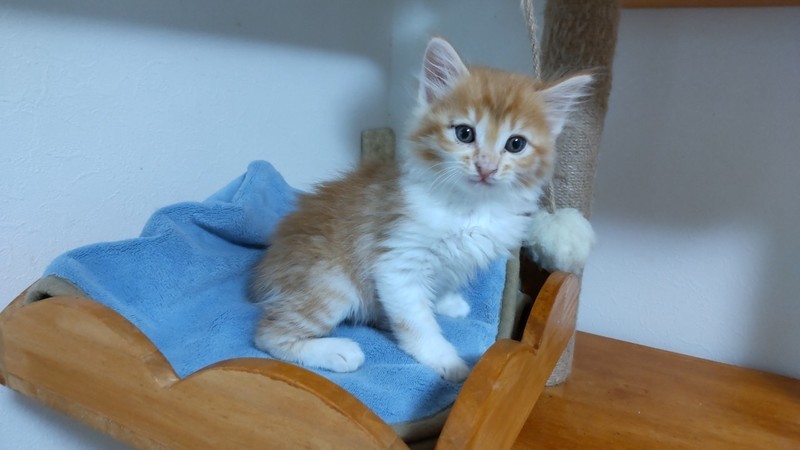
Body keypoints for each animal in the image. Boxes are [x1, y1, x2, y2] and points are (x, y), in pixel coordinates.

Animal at [250, 37, 592, 382]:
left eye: (516, 144)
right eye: (465, 133)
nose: (486, 167)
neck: (471, 207)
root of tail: (269, 264)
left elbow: (442, 285)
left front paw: (448, 302)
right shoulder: (397, 262)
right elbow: (416, 321)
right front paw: (447, 360)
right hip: (331, 284)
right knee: (268, 335)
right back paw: (337, 351)